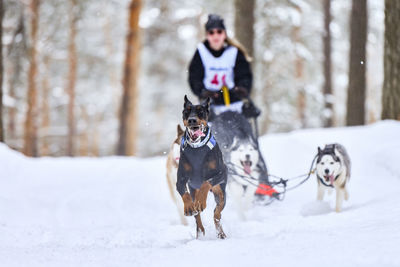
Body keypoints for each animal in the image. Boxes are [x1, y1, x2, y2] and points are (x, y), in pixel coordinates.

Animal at [176, 95, 227, 240]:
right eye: (187, 111)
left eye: (200, 111)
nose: (192, 120)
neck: (197, 148)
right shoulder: (181, 179)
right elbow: (185, 193)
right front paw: (188, 207)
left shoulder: (221, 173)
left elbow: (206, 182)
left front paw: (201, 201)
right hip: (194, 190)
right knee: (197, 216)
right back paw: (200, 232)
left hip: (220, 192)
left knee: (217, 213)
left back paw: (221, 233)